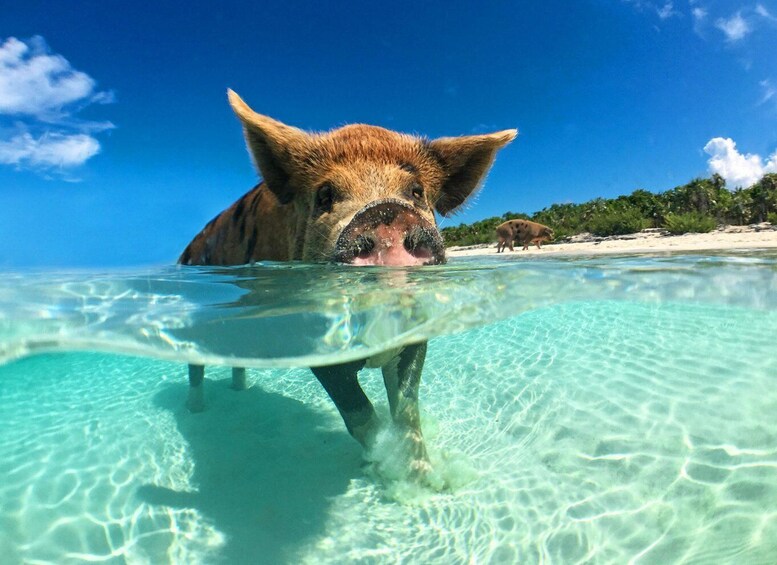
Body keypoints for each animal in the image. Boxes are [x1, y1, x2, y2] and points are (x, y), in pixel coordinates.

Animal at [179, 90, 516, 480]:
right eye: (325, 195)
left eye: (416, 192)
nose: (385, 212)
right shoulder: (313, 340)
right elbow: (359, 413)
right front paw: (383, 469)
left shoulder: (416, 334)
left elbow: (407, 411)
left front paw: (425, 480)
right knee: (195, 367)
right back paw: (195, 410)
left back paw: (239, 391)